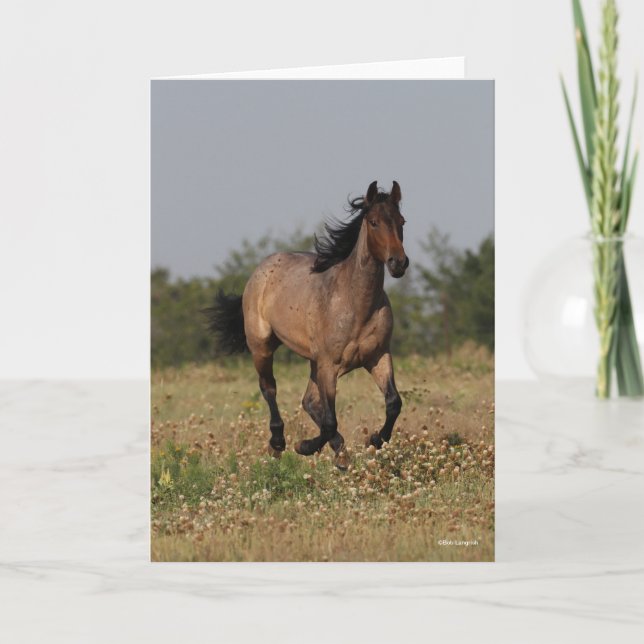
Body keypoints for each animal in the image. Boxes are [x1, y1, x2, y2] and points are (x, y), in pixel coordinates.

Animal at [204, 180, 409, 469]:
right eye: (374, 222)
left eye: (401, 221)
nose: (398, 262)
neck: (355, 303)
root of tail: (261, 269)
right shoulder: (329, 365)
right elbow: (329, 419)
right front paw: (305, 446)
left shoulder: (377, 356)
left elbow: (393, 404)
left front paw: (375, 440)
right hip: (262, 347)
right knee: (270, 388)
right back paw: (279, 443)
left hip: (314, 363)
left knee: (310, 401)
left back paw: (340, 454)